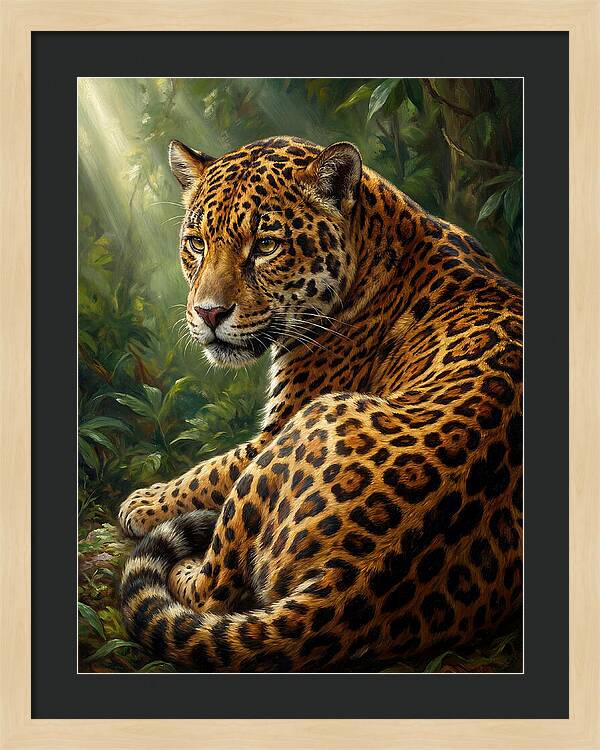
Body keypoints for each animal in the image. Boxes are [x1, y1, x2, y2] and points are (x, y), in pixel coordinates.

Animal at [119, 135, 522, 672]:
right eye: (198, 243)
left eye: (266, 245)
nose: (208, 313)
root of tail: (348, 584)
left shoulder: (279, 424)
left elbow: (210, 471)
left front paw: (143, 503)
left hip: (305, 425)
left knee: (213, 591)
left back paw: (185, 564)